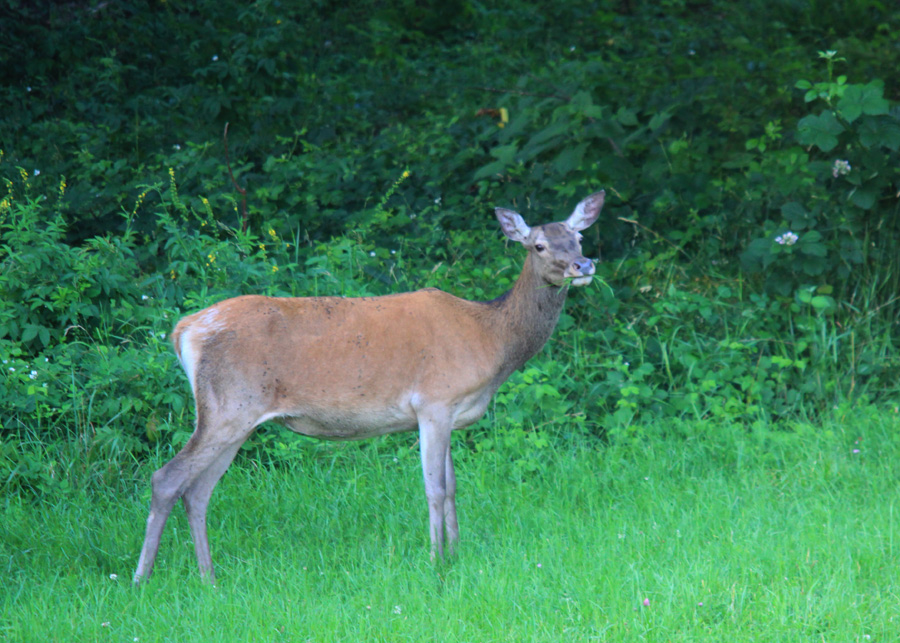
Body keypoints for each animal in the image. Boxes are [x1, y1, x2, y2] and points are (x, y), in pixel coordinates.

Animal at [134, 190, 604, 584]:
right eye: (538, 245)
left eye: (579, 238)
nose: (584, 266)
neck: (491, 338)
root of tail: (184, 330)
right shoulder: (433, 402)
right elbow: (434, 488)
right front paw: (436, 562)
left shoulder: (450, 412)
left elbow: (453, 486)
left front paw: (456, 553)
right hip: (228, 406)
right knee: (166, 478)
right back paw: (142, 578)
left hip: (237, 417)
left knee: (198, 491)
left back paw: (208, 577)